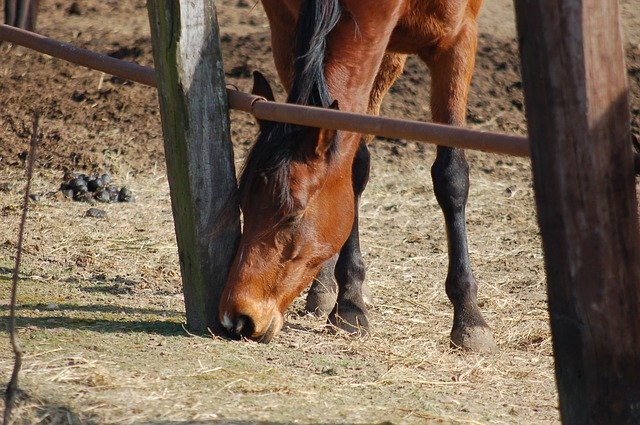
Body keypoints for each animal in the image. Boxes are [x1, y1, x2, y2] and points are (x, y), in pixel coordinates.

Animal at [218, 0, 498, 352]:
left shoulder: (458, 40)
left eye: (293, 215)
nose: (238, 317)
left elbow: (452, 176)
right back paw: (323, 290)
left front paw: (470, 319)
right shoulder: (289, 29)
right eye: (242, 205)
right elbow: (352, 170)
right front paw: (349, 305)